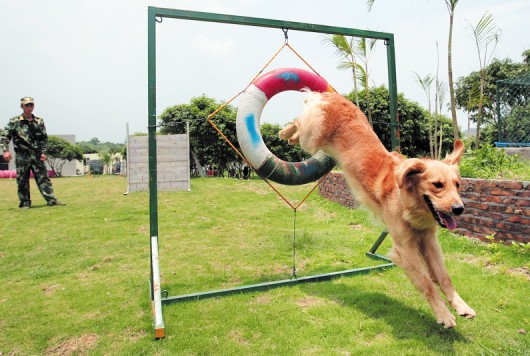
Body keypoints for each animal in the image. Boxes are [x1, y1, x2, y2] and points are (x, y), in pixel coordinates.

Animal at [278, 91, 476, 328]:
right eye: (437, 185)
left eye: (457, 185)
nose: (459, 209)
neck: (409, 204)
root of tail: (334, 97)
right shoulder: (405, 249)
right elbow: (427, 283)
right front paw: (443, 314)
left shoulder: (429, 241)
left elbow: (444, 276)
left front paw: (461, 306)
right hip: (312, 137)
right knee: (298, 124)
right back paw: (285, 132)